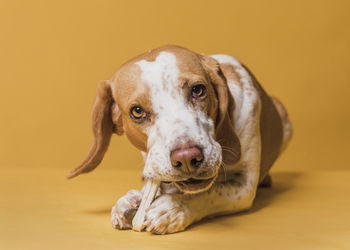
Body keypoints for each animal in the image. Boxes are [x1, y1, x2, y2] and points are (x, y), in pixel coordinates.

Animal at [67, 45, 292, 234]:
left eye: (198, 90)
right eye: (137, 111)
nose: (187, 158)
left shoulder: (245, 185)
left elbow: (210, 193)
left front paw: (174, 208)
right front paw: (132, 200)